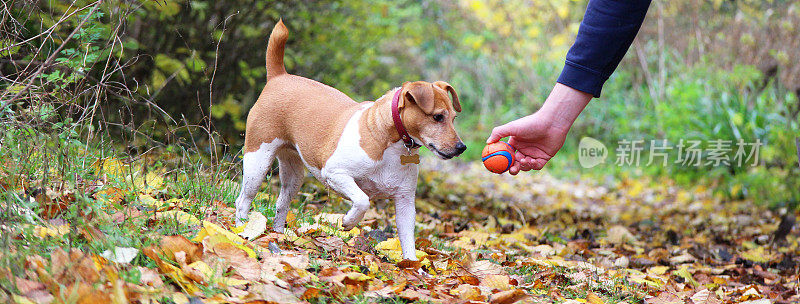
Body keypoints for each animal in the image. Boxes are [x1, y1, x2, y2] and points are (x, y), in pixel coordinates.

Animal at [234, 20, 466, 260]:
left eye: (454, 118)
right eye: (438, 117)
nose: (461, 147)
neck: (390, 141)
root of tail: (279, 76)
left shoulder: (404, 201)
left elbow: (408, 240)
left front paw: (411, 265)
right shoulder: (336, 174)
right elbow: (363, 200)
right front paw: (348, 221)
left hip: (294, 173)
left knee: (281, 203)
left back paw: (279, 236)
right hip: (257, 161)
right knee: (243, 200)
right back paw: (241, 230)